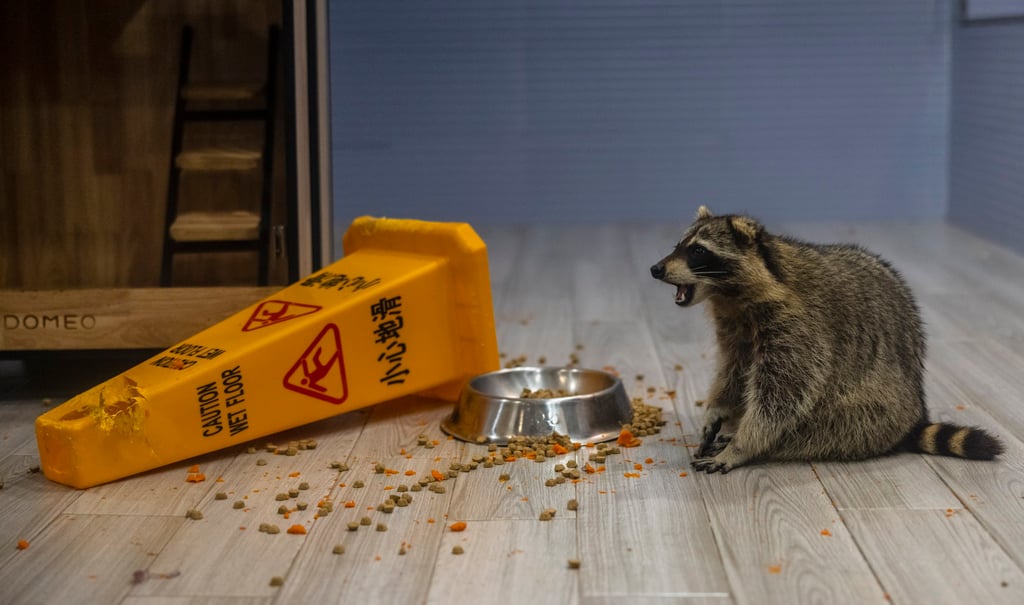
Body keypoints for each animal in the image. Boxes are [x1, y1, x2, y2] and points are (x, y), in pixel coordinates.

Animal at [650, 205, 1003, 473]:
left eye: (698, 251)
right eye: (678, 244)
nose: (655, 269)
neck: (730, 297)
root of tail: (914, 415)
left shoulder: (800, 326)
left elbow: (782, 396)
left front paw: (742, 445)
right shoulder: (735, 329)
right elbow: (733, 370)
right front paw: (718, 409)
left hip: (865, 417)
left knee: (813, 430)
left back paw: (764, 445)